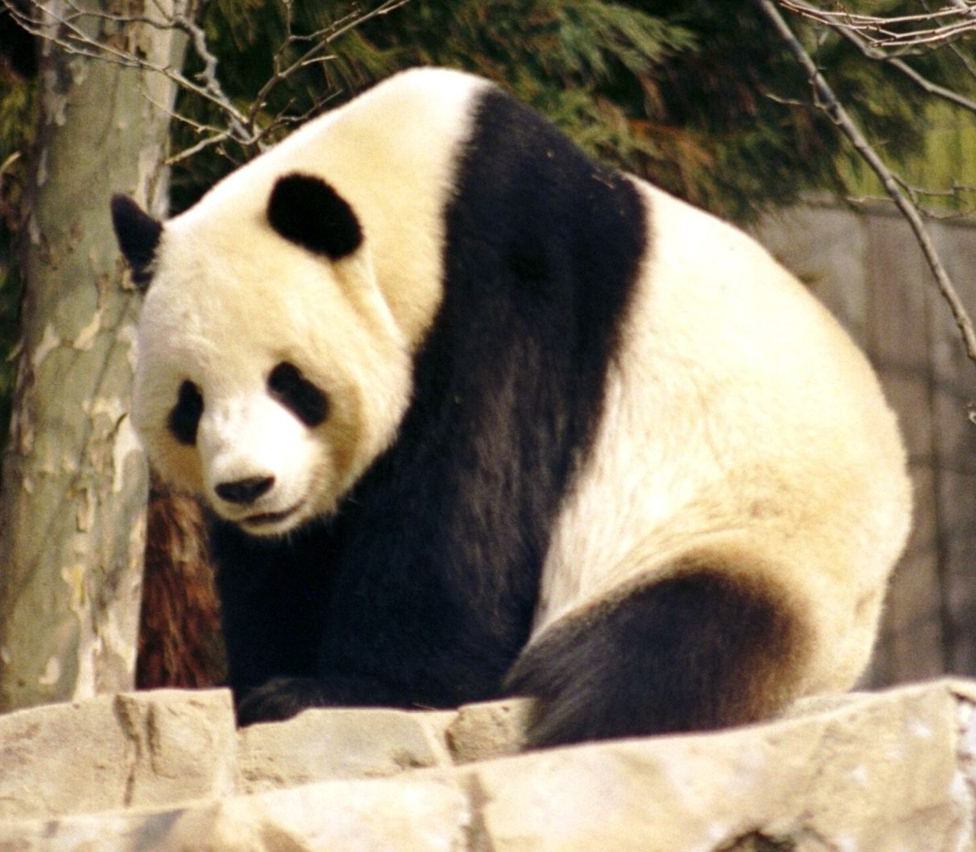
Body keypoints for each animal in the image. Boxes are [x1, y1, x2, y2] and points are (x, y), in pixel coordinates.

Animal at [111, 67, 911, 749]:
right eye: (190, 403)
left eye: (289, 382)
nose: (248, 487)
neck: (419, 187)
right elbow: (288, 559)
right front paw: (265, 680)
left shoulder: (515, 289)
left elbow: (470, 504)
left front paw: (340, 690)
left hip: (753, 538)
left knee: (665, 653)